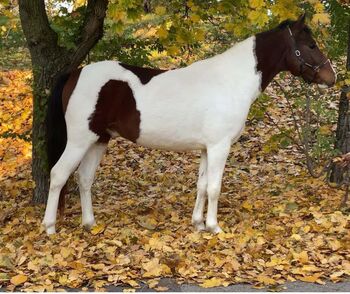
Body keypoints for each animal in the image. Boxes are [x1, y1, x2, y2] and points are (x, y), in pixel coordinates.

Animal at [43, 13, 336, 235]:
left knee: (84, 178)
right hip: (79, 140)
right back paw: (49, 227)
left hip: (98, 139)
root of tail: (75, 73)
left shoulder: (207, 148)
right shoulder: (219, 147)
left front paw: (198, 224)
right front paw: (214, 227)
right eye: (311, 45)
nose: (330, 77)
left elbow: (202, 186)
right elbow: (215, 188)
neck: (230, 80)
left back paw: (89, 224)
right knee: (58, 175)